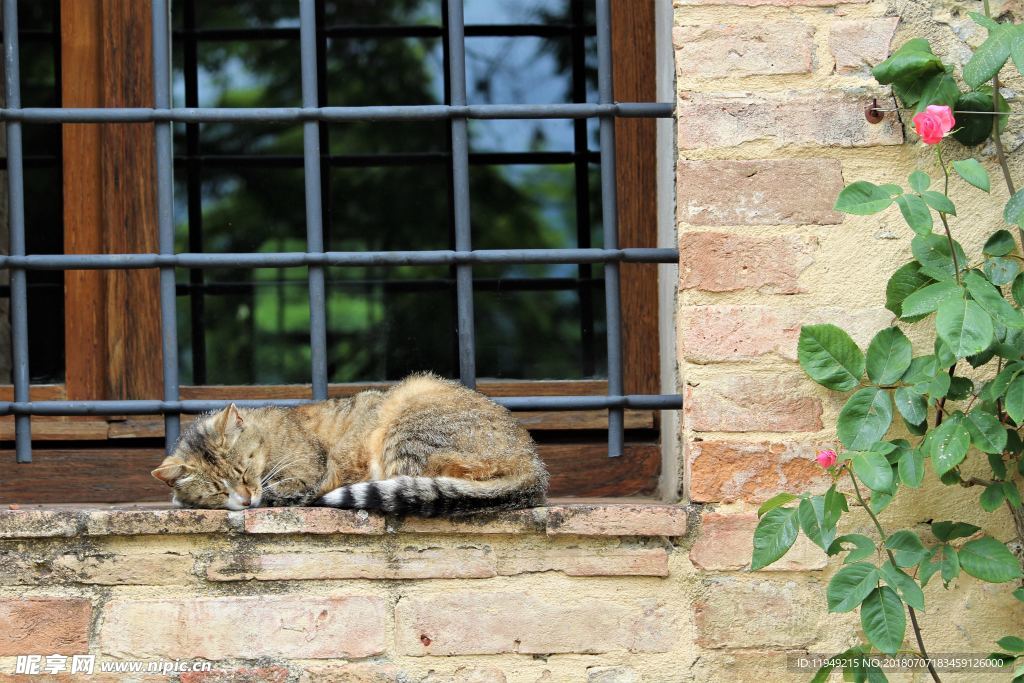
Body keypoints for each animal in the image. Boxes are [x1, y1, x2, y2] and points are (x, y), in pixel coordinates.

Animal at [150, 374, 548, 518]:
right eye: (217, 490)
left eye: (243, 470)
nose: (246, 498)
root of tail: (532, 464)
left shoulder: (308, 472)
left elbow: (289, 490)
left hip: (408, 413)